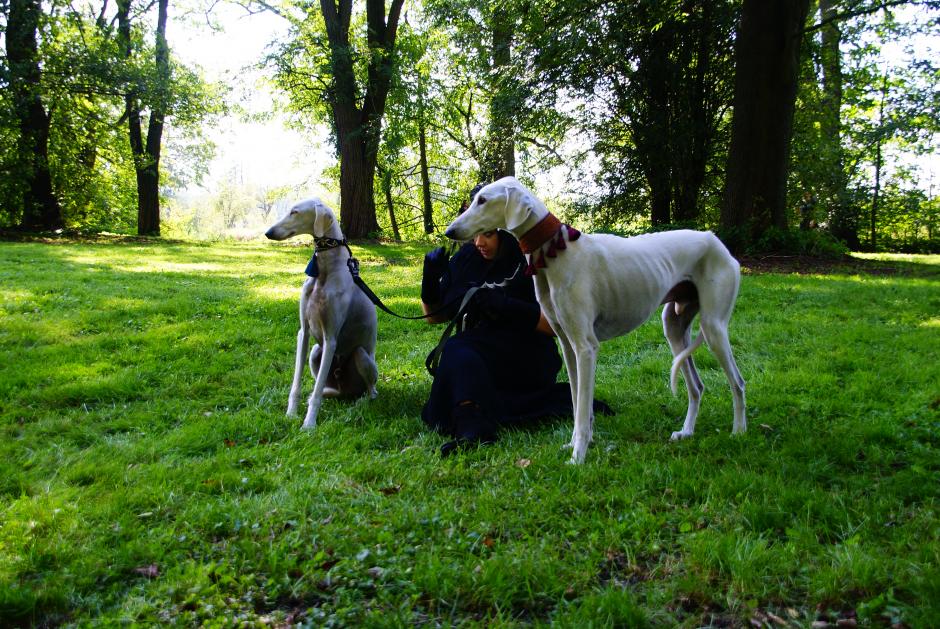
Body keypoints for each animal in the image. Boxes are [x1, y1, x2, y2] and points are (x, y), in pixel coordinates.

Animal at [264, 199, 378, 430]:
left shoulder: (330, 338)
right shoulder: (304, 333)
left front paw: (308, 425)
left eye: (295, 212)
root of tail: (344, 391)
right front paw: (291, 414)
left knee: (371, 390)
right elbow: (297, 383)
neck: (325, 272)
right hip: (316, 352)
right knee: (324, 385)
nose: (268, 233)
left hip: (362, 356)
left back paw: (363, 402)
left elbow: (315, 393)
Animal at [444, 177, 744, 462]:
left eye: (483, 200)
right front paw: (575, 445)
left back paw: (739, 433)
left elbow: (582, 407)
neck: (556, 251)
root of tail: (714, 239)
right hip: (674, 327)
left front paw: (578, 457)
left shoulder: (586, 346)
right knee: (697, 386)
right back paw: (687, 432)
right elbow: (578, 402)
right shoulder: (568, 345)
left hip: (714, 327)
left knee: (738, 382)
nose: (449, 232)